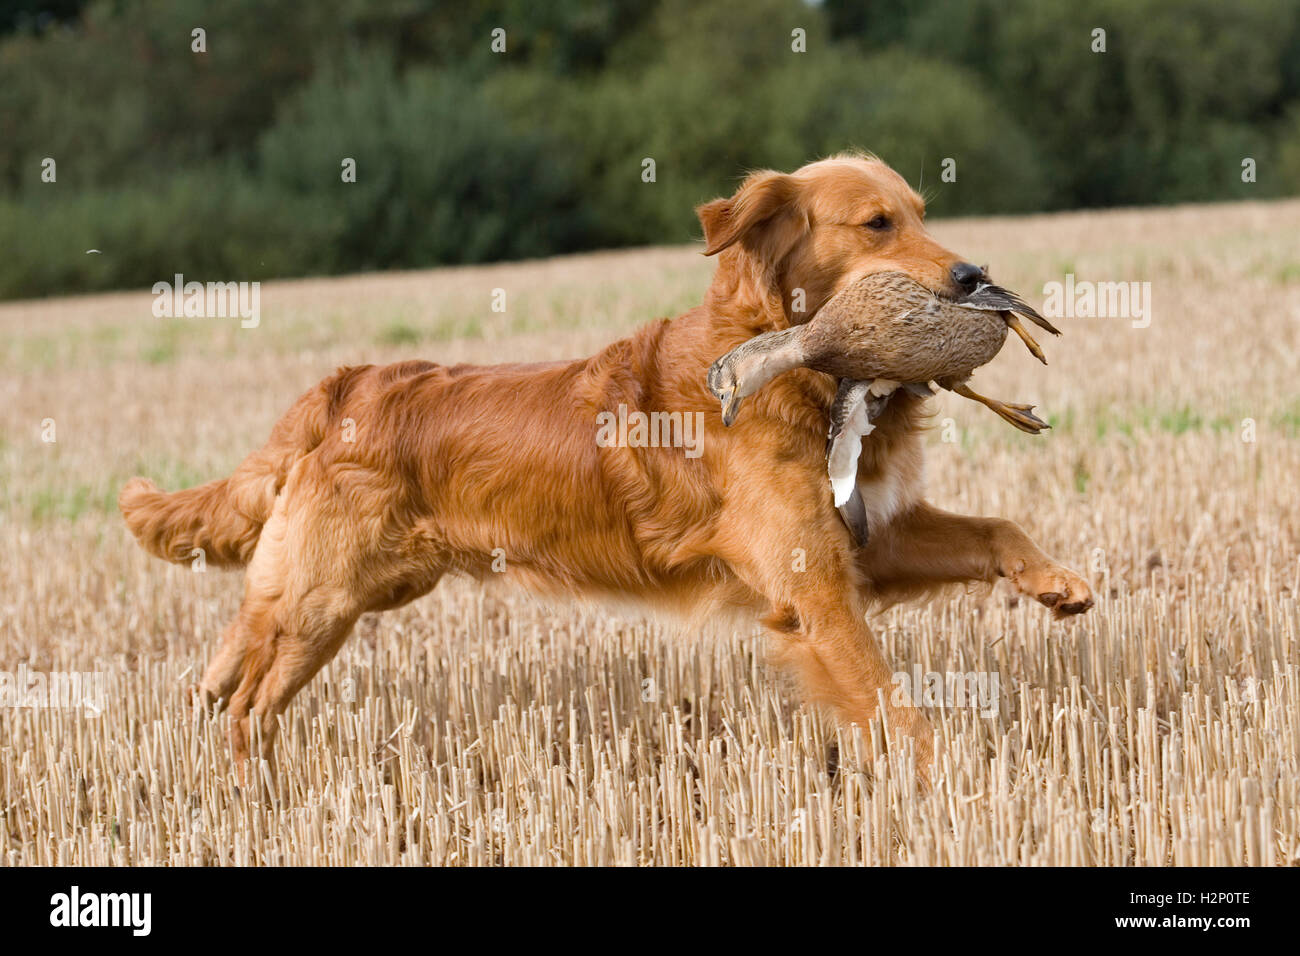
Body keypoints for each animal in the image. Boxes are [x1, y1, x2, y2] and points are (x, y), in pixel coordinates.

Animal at [122, 153, 1092, 775]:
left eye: (924, 212)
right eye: (878, 224)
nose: (975, 278)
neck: (795, 360)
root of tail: (348, 382)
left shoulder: (867, 539)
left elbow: (996, 527)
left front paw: (1056, 581)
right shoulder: (812, 587)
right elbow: (891, 704)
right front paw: (960, 786)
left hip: (352, 587)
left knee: (239, 644)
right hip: (328, 598)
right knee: (253, 701)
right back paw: (254, 794)